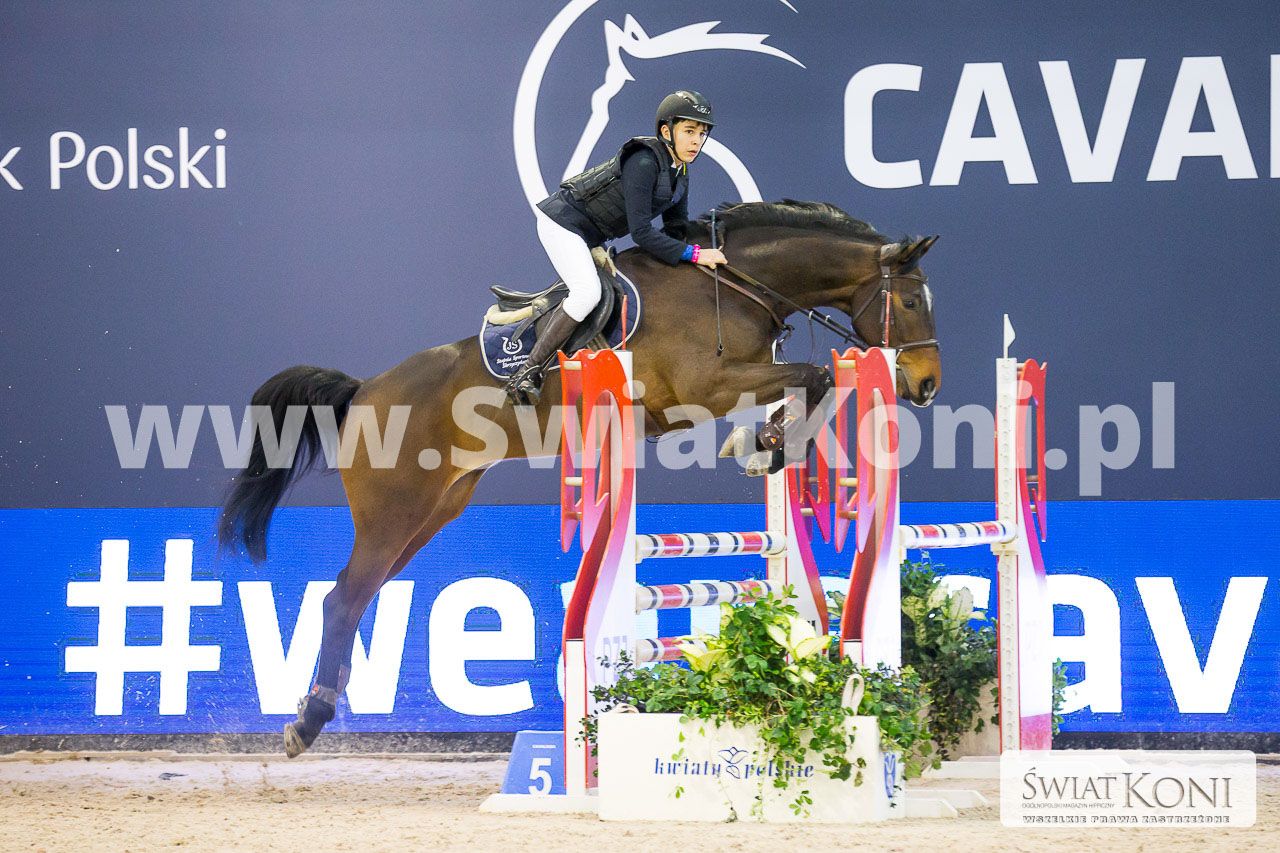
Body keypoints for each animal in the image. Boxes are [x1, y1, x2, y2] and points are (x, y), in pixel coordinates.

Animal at [217, 199, 941, 756]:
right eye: (909, 300)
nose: (927, 385)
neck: (735, 285)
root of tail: (365, 388)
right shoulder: (703, 387)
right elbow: (814, 376)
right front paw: (761, 444)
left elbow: (810, 384)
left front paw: (764, 445)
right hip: (394, 510)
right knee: (343, 597)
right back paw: (307, 722)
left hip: (435, 509)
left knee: (358, 594)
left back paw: (314, 709)